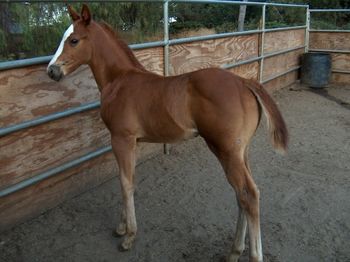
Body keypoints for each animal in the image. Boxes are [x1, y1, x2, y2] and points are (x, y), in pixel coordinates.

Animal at [47, 5, 288, 260]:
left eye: (73, 40)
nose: (51, 70)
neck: (119, 80)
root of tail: (244, 82)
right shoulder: (132, 142)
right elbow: (129, 179)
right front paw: (122, 227)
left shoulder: (121, 139)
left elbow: (125, 183)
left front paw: (129, 236)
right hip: (241, 151)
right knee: (242, 195)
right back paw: (234, 251)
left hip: (226, 151)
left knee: (248, 195)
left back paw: (250, 254)